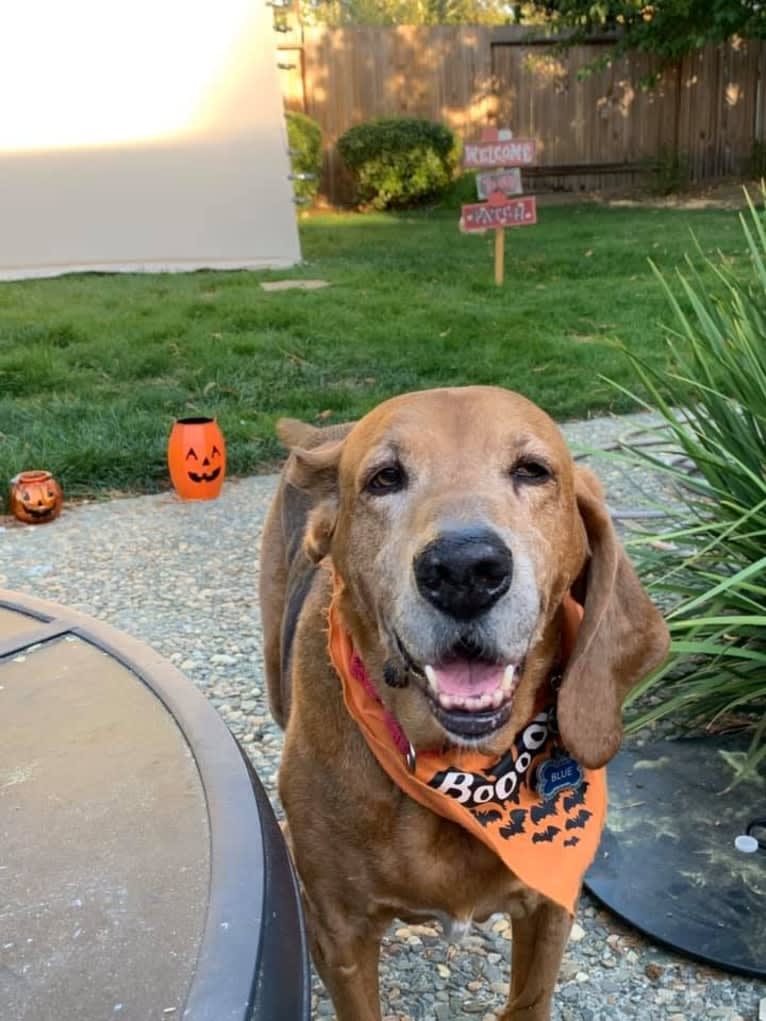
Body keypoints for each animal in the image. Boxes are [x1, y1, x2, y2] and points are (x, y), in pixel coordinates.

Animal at [261, 385, 669, 1016]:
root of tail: (319, 438)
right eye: (385, 478)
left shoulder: (549, 911)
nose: (464, 568)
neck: (465, 772)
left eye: (532, 471)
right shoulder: (340, 934)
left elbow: (529, 999)